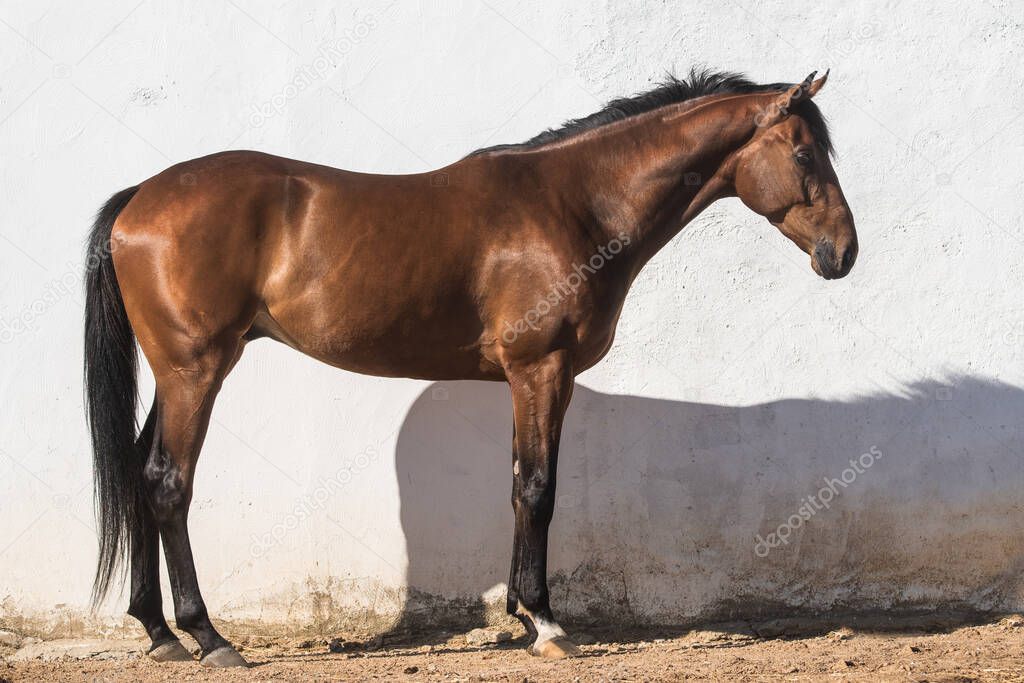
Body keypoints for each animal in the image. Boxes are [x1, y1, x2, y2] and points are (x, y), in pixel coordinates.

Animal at [86, 69, 856, 667]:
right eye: (804, 153)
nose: (843, 253)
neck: (577, 203)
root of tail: (140, 197)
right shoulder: (540, 369)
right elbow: (540, 489)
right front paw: (547, 622)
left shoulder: (539, 379)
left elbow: (517, 483)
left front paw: (519, 612)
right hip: (196, 370)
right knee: (168, 483)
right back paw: (209, 637)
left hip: (176, 375)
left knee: (137, 471)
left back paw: (159, 632)